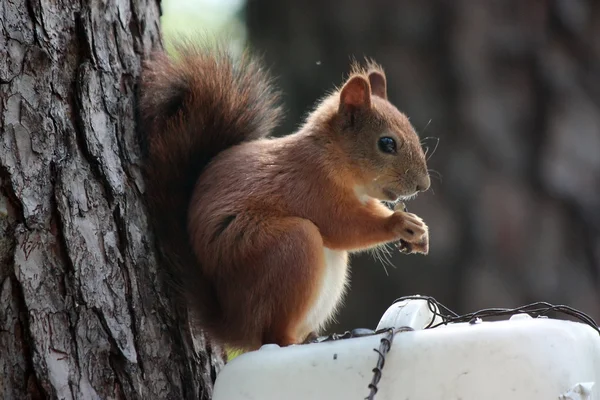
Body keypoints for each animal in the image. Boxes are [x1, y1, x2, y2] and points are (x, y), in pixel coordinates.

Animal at [141, 42, 432, 352]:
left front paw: (419, 229)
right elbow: (345, 226)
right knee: (274, 337)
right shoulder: (312, 187)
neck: (331, 155)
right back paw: (297, 341)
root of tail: (236, 326)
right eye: (387, 143)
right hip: (288, 247)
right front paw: (398, 223)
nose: (423, 185)